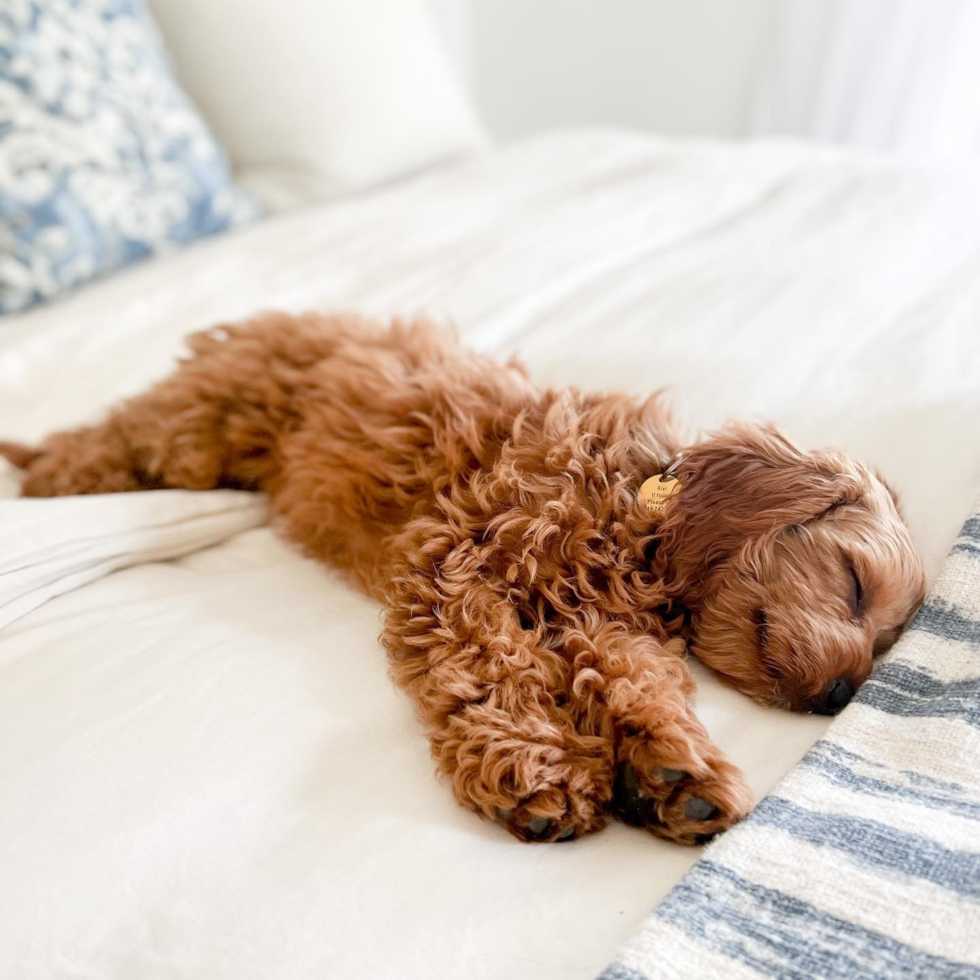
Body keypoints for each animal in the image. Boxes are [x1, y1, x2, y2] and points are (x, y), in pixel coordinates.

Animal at [0, 312, 928, 844]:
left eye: (886, 641)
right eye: (852, 582)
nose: (843, 694)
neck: (635, 514)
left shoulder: (598, 623)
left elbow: (637, 680)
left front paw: (673, 768)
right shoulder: (457, 569)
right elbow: (490, 670)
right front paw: (537, 768)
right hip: (190, 438)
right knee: (95, 447)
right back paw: (38, 475)